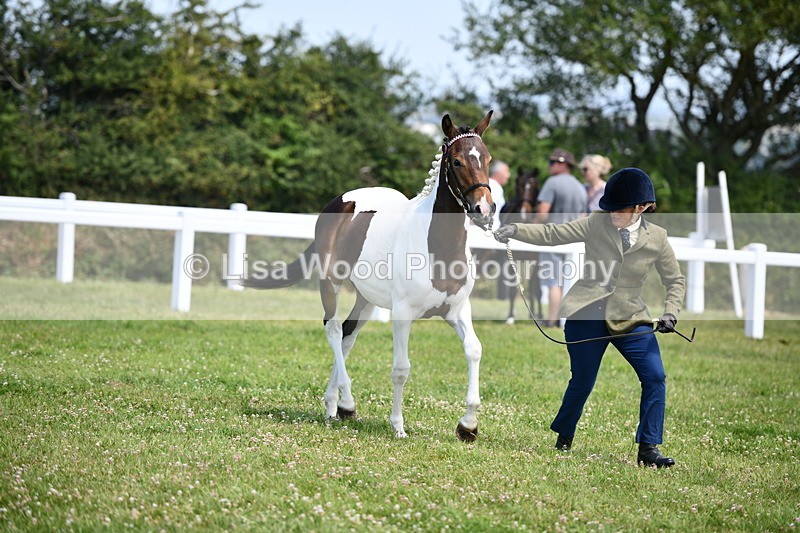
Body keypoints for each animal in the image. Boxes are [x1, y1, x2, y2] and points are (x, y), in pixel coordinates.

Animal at [243, 111, 496, 441]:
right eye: (456, 161)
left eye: (488, 158)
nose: (484, 209)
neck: (436, 246)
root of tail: (339, 201)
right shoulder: (403, 314)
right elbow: (401, 368)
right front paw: (398, 426)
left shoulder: (457, 310)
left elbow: (474, 351)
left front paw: (468, 426)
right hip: (330, 283)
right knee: (333, 329)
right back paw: (347, 402)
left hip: (366, 298)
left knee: (348, 334)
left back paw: (334, 406)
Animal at [499, 168, 543, 324]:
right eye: (518, 185)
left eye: (534, 186)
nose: (524, 213)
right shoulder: (514, 258)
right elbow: (513, 288)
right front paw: (510, 317)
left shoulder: (537, 260)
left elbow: (536, 288)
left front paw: (539, 316)